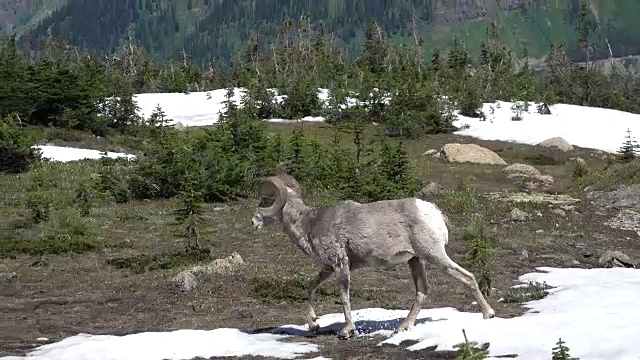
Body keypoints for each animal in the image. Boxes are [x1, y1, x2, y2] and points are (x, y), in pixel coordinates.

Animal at [251, 176, 496, 338]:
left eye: (266, 199)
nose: (253, 222)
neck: (309, 224)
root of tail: (434, 213)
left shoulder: (341, 265)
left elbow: (344, 297)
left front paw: (346, 331)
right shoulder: (329, 268)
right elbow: (309, 288)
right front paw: (313, 325)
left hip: (433, 255)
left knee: (467, 277)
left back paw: (488, 315)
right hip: (415, 260)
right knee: (422, 290)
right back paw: (402, 327)